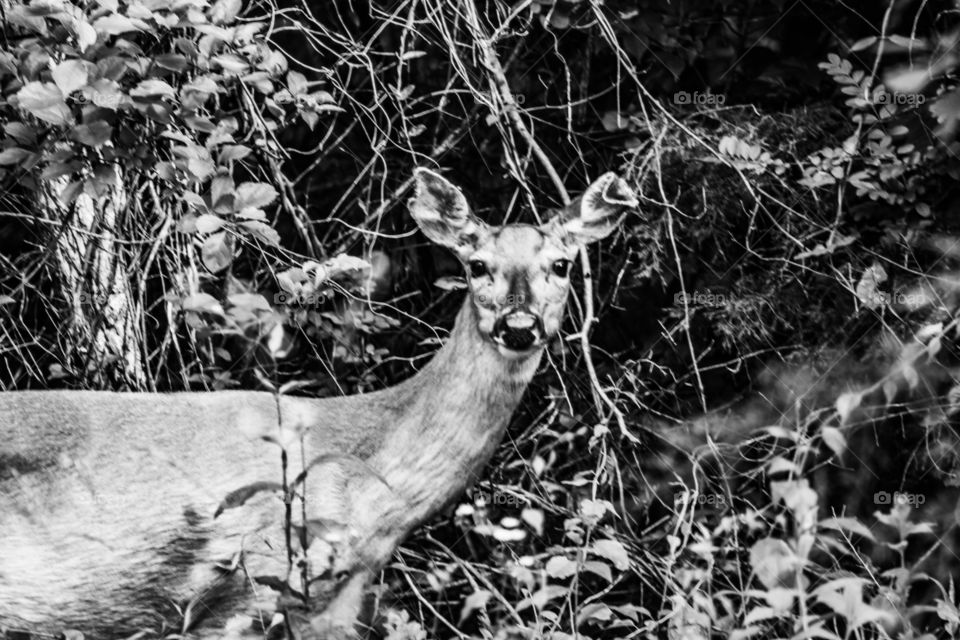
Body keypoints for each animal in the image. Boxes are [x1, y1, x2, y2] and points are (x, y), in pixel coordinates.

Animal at [0, 168, 637, 639]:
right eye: (478, 265)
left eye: (560, 265)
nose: (520, 325)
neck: (366, 483)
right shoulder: (244, 583)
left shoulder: (335, 599)